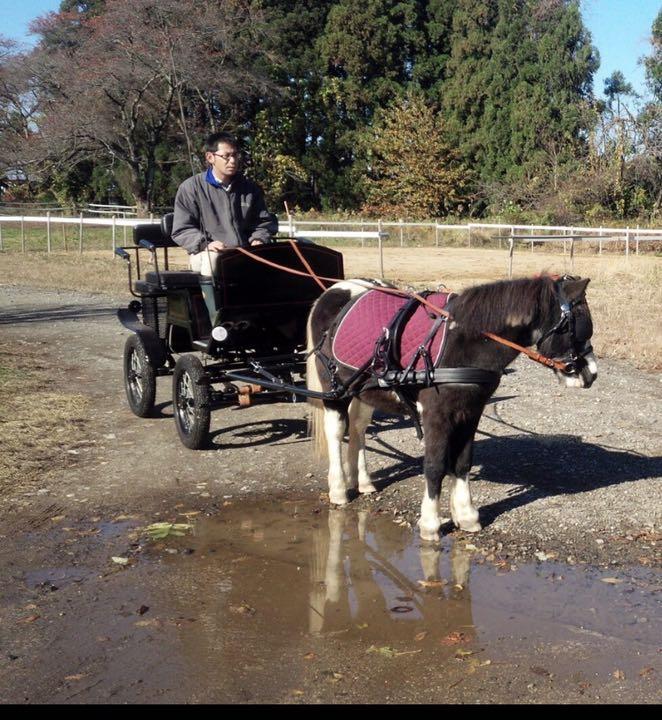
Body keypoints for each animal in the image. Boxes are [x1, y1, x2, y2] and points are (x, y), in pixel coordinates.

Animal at [308, 276, 600, 540]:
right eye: (578, 326)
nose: (592, 374)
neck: (463, 339)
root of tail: (333, 291)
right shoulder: (436, 415)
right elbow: (435, 465)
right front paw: (430, 523)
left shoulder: (471, 411)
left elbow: (462, 462)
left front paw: (466, 515)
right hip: (334, 390)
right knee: (337, 433)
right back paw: (338, 489)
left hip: (363, 391)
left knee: (358, 430)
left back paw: (364, 481)